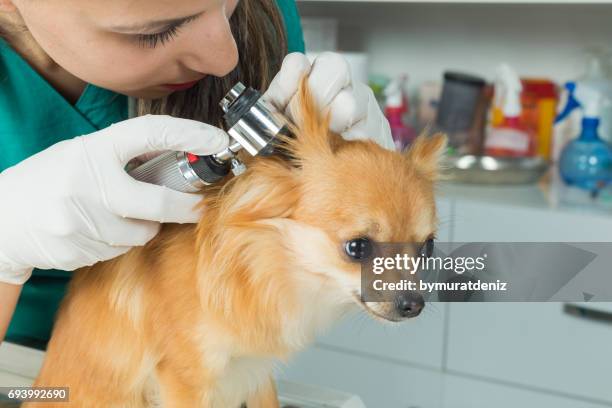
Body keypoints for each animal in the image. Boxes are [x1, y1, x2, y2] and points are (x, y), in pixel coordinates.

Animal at [26, 75, 448, 406]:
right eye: (357, 248)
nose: (414, 305)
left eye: (427, 248)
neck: (264, 266)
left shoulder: (254, 370)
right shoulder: (186, 378)